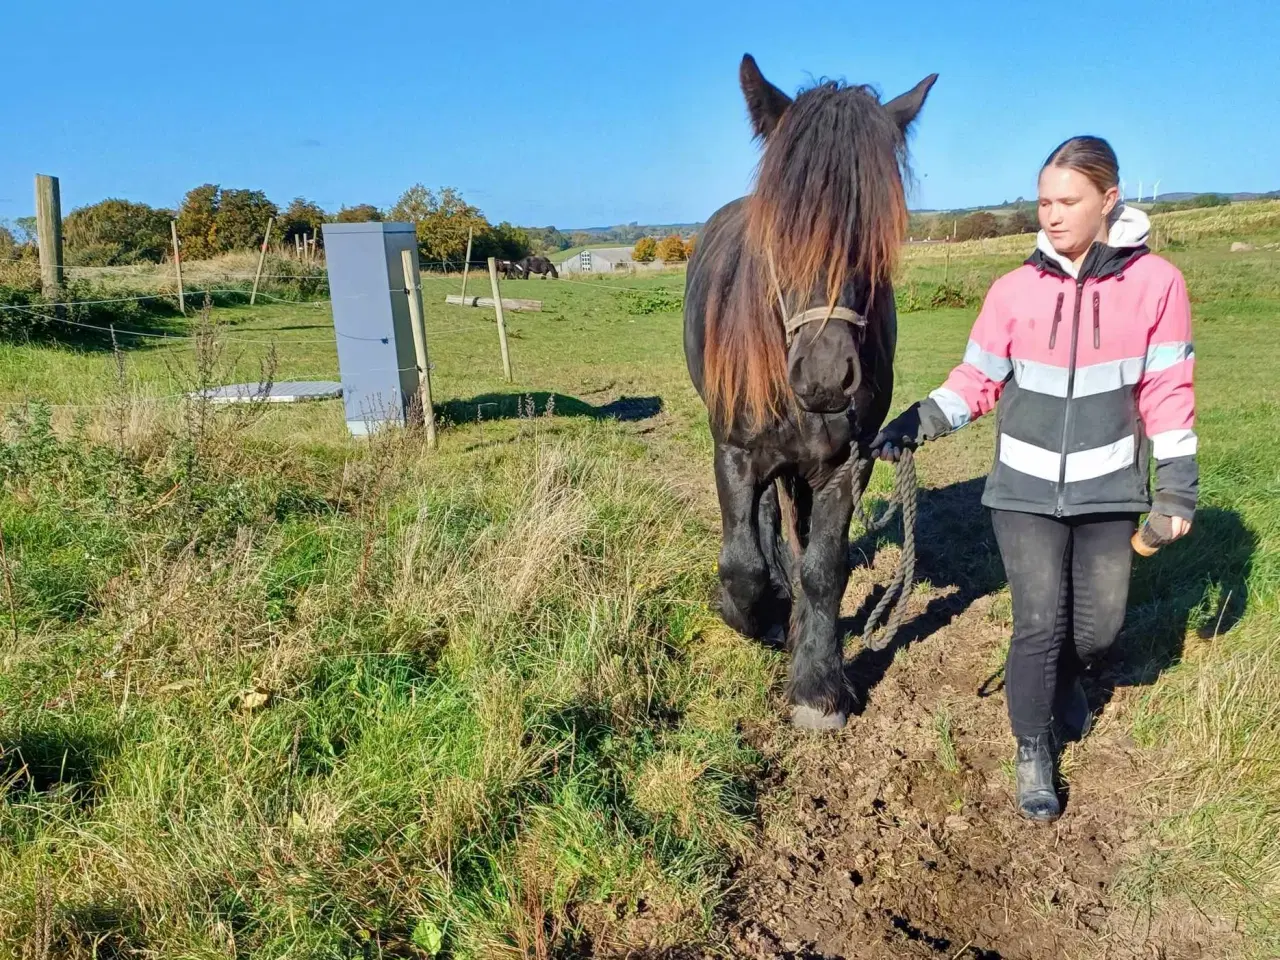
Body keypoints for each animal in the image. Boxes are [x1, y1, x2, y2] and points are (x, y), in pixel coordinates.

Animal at [686, 54, 936, 727]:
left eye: (877, 233)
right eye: (779, 229)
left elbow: (825, 568)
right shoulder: (735, 454)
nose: (824, 378)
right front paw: (761, 615)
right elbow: (741, 564)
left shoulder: (847, 462)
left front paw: (818, 684)